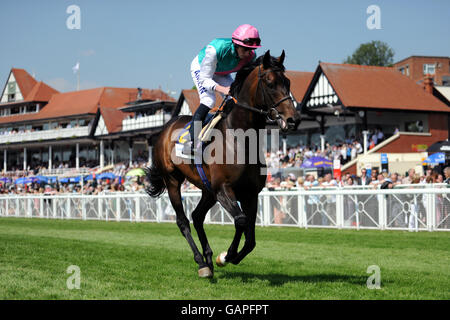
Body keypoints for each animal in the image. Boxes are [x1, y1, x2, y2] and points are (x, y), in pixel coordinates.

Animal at [144, 50, 298, 278]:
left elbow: (250, 239)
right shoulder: (224, 189)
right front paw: (226, 256)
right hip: (173, 180)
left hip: (208, 190)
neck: (240, 138)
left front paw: (227, 256)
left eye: (287, 82)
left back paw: (208, 257)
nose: (293, 119)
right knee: (183, 221)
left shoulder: (250, 193)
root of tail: (165, 128)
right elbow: (241, 221)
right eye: (270, 83)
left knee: (197, 216)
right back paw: (201, 262)